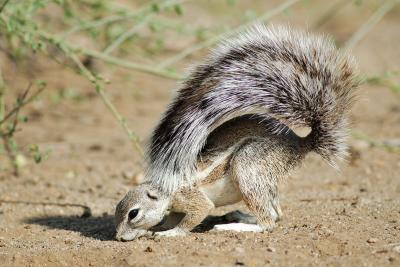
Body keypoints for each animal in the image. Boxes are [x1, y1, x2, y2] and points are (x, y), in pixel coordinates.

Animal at [114, 25, 358, 242]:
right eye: (117, 208)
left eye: (133, 213)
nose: (118, 238)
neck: (165, 188)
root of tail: (300, 142)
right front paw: (158, 228)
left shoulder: (191, 198)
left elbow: (196, 214)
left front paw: (170, 233)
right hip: (264, 179)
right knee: (276, 214)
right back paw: (240, 215)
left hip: (249, 165)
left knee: (268, 222)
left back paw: (234, 226)